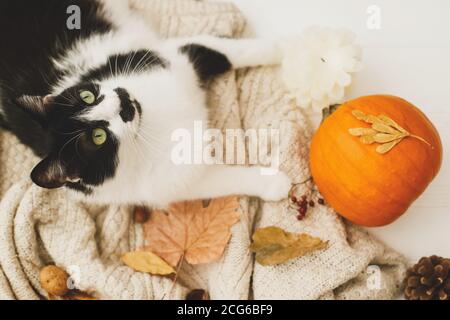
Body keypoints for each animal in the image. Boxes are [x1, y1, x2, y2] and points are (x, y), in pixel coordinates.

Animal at [0, 0, 292, 208]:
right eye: (98, 137)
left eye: (87, 95)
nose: (122, 102)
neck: (150, 122)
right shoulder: (173, 180)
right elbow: (223, 180)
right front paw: (275, 184)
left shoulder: (169, 58)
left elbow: (232, 51)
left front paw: (286, 48)